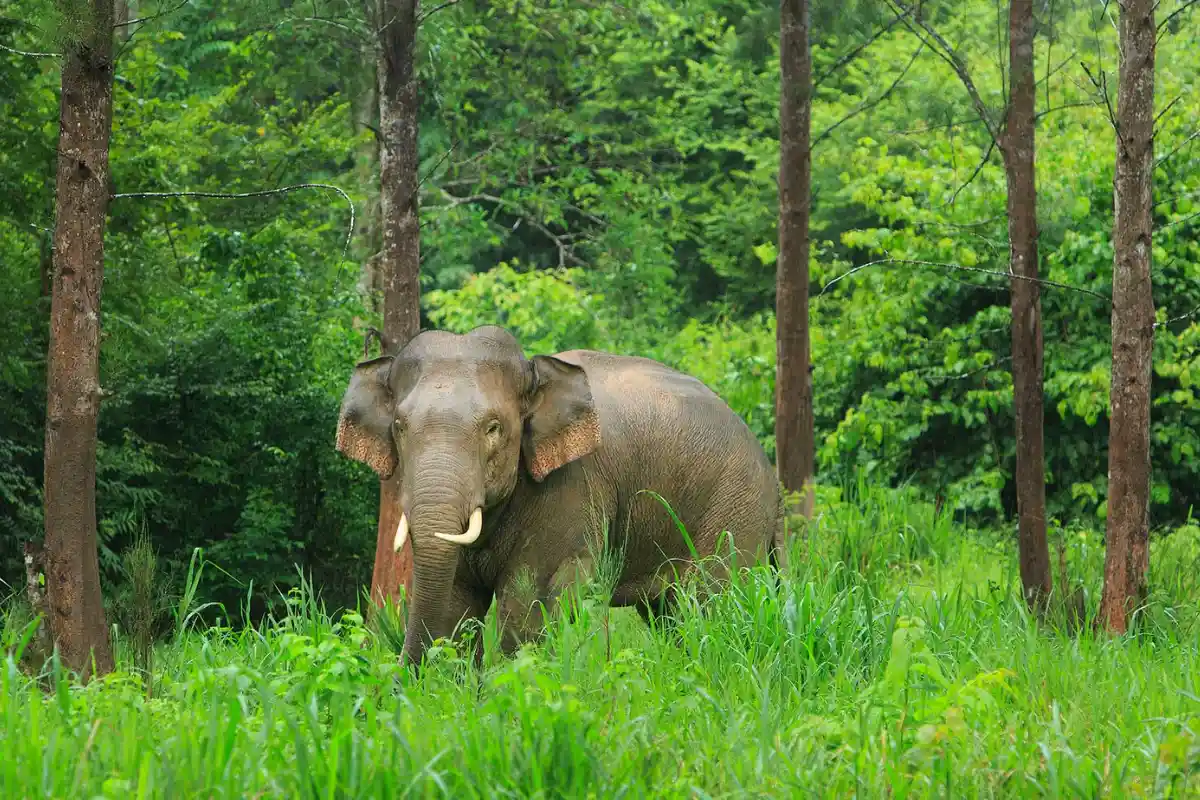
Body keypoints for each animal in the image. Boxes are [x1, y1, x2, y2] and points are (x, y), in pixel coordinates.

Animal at [335, 325, 785, 668]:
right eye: (399, 427)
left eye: (494, 428)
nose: (398, 679)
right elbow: (456, 602)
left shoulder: (571, 486)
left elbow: (529, 599)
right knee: (671, 616)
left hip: (733, 510)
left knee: (713, 603)